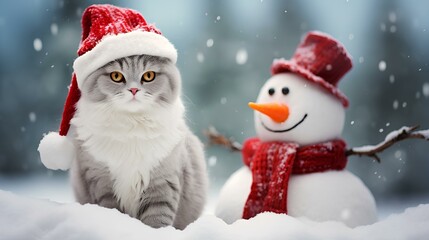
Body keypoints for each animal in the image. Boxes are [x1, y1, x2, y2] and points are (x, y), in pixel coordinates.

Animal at [68, 54, 207, 229]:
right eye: (116, 76)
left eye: (148, 76)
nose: (133, 90)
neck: (132, 126)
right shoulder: (101, 181)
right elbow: (113, 211)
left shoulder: (162, 182)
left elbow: (157, 218)